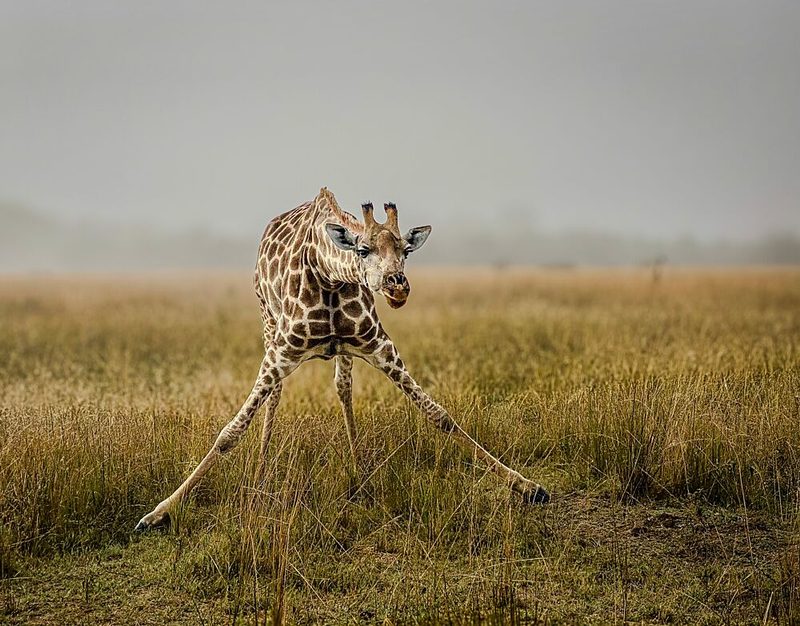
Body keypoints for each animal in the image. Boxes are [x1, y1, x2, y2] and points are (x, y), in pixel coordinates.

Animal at [134, 188, 548, 531]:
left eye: (406, 250)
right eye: (362, 250)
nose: (398, 286)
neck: (329, 276)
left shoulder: (379, 345)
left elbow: (439, 415)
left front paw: (528, 486)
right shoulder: (282, 351)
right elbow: (229, 433)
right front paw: (158, 512)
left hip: (343, 353)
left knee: (343, 389)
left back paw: (359, 473)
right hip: (267, 325)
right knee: (275, 397)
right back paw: (263, 471)